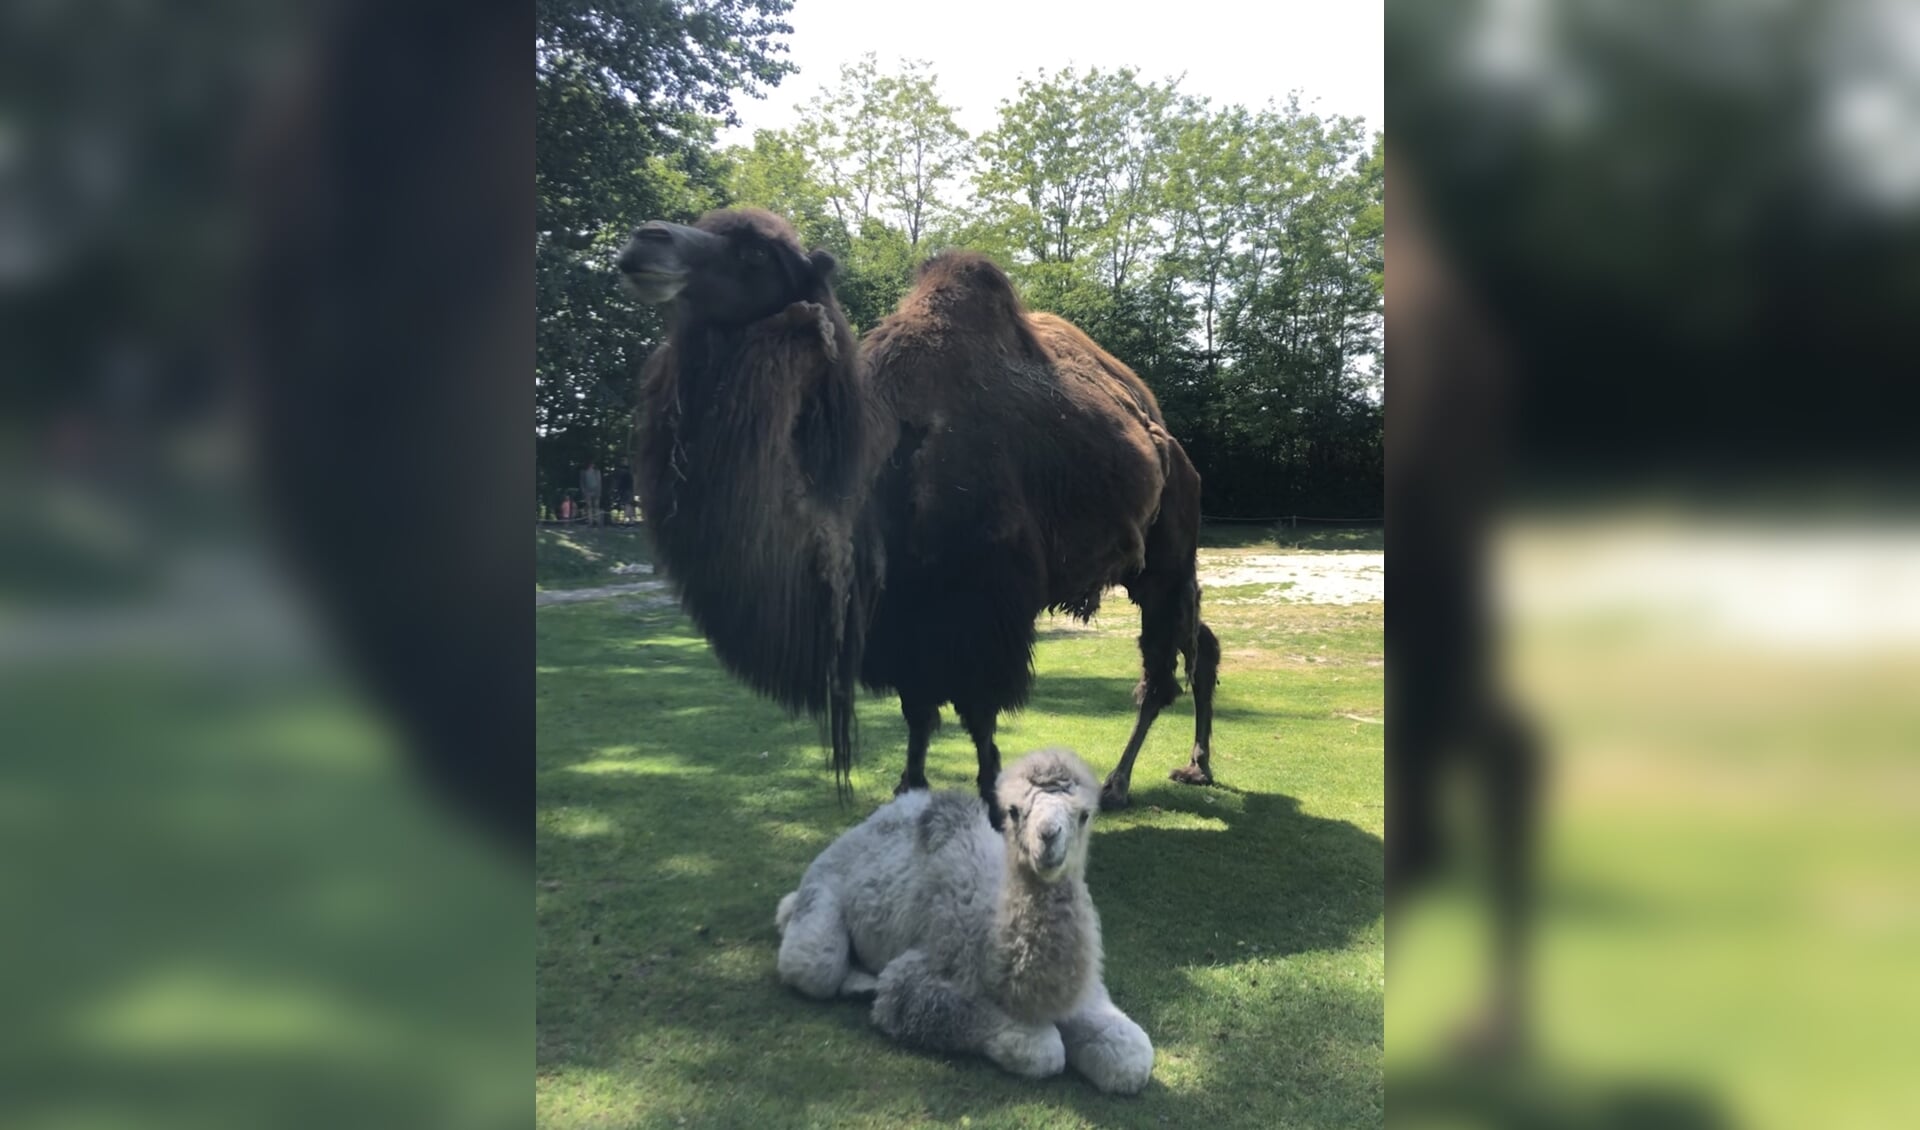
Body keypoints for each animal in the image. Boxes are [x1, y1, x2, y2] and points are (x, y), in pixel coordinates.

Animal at [622, 209, 1221, 828]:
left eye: (758, 253)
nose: (644, 242)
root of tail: (1167, 441)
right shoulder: (901, 616)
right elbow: (918, 711)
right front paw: (907, 788)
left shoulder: (983, 609)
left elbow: (978, 714)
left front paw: (992, 800)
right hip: (1142, 567)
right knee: (1201, 644)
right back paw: (1196, 766)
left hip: (1167, 556)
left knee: (1163, 669)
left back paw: (1120, 782)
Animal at [771, 744, 1144, 1089]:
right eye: (1014, 811)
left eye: (1084, 815)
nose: (1048, 838)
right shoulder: (920, 973)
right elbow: (1043, 1049)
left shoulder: (1087, 991)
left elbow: (1130, 1056)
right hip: (822, 888)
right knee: (814, 965)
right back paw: (857, 982)